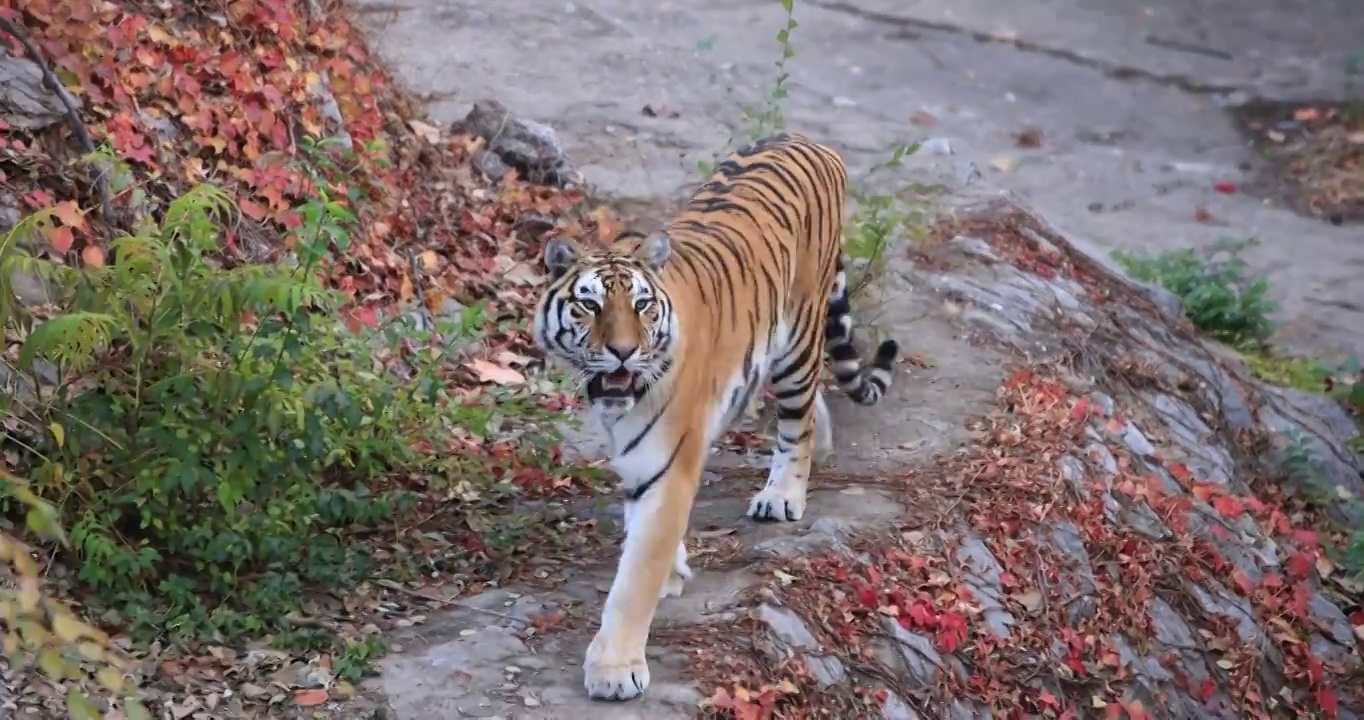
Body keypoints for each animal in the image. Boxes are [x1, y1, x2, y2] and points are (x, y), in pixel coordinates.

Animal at [534, 132, 905, 698]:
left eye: (642, 305)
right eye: (589, 305)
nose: (622, 352)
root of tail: (808, 140)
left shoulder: (667, 468)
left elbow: (634, 578)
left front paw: (615, 669)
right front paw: (672, 571)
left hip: (798, 337)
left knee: (797, 422)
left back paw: (783, 493)